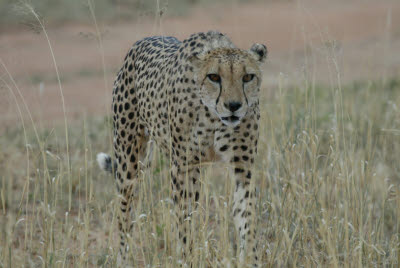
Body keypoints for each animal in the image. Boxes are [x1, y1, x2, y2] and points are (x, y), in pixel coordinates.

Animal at [96, 30, 266, 266]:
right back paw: (123, 259)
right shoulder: (183, 167)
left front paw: (250, 258)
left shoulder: (243, 166)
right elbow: (185, 220)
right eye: (214, 77)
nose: (234, 106)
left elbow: (246, 215)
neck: (213, 117)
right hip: (128, 164)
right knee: (125, 214)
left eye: (248, 77)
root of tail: (142, 41)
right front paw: (187, 259)